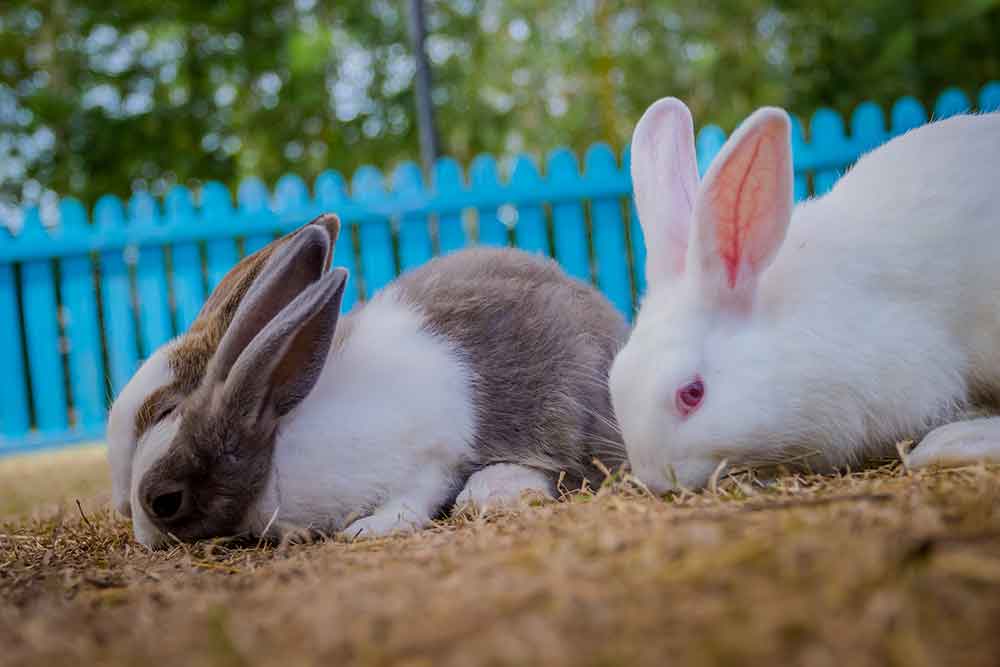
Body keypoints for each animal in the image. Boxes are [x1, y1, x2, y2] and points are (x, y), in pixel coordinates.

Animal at [109, 214, 624, 548]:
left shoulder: (428, 456)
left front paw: (368, 529)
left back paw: (496, 491)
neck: (276, 434)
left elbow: (413, 497)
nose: (142, 536)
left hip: (568, 408)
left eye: (165, 501)